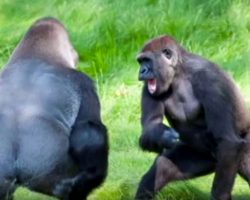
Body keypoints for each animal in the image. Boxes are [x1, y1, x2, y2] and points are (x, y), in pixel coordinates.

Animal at [136, 35, 250, 200]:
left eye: (147, 60)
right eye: (141, 61)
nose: (142, 71)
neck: (179, 72)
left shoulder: (210, 80)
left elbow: (228, 140)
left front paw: (220, 195)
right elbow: (151, 126)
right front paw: (163, 136)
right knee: (162, 166)